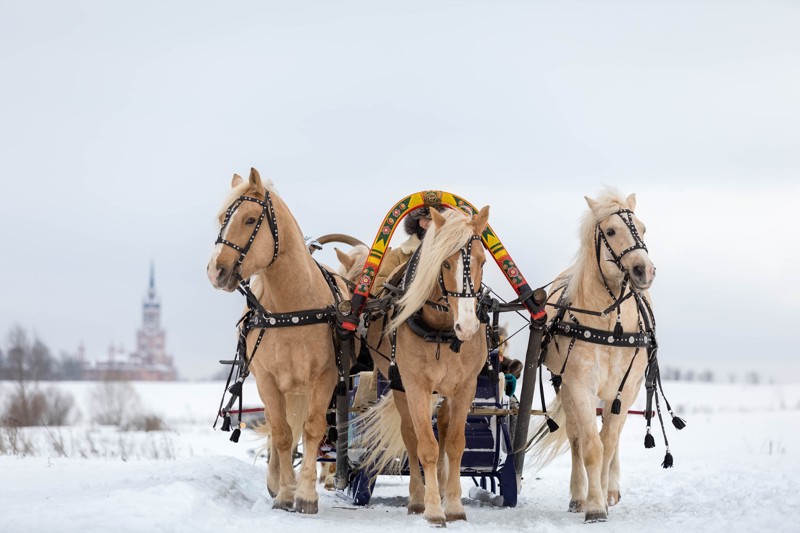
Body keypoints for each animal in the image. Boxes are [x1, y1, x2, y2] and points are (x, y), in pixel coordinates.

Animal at [206, 168, 346, 512]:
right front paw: (284, 492)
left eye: (249, 219)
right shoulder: (268, 381)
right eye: (223, 219)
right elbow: (282, 434)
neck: (291, 309)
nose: (215, 271)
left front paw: (306, 494)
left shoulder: (325, 378)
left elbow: (312, 429)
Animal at [354, 205, 490, 524]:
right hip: (400, 386)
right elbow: (426, 446)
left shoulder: (465, 387)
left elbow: (454, 444)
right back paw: (417, 498)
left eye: (482, 260)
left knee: (443, 426)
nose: (467, 327)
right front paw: (432, 510)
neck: (441, 330)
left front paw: (453, 505)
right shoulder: (415, 384)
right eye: (445, 264)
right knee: (410, 435)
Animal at [532, 189, 656, 520]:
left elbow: (609, 443)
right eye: (611, 231)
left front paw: (603, 494)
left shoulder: (624, 390)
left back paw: (610, 489)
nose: (644, 270)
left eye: (643, 228)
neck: (610, 326)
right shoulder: (578, 385)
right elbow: (590, 445)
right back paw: (579, 496)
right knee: (576, 438)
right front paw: (593, 504)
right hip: (564, 386)